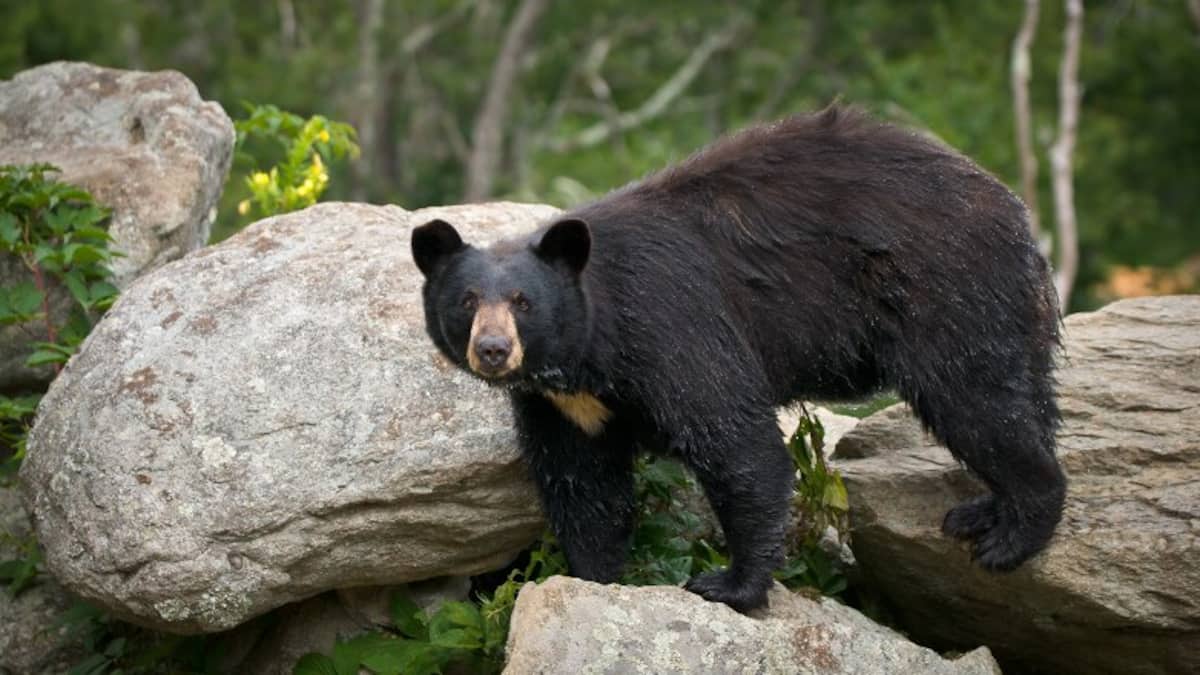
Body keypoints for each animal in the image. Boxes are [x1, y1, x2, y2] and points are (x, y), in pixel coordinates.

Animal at [411, 104, 1066, 613]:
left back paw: (1012, 534)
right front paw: (595, 577)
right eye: (467, 301)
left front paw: (730, 584)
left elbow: (735, 443)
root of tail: (1015, 212)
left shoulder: (671, 326)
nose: (493, 350)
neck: (590, 352)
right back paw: (984, 511)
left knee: (975, 401)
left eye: (523, 302)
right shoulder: (561, 404)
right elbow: (583, 484)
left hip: (945, 291)